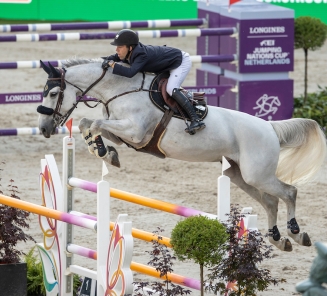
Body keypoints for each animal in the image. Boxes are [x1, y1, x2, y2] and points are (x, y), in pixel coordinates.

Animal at [37, 58, 326, 252]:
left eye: (54, 93)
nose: (44, 129)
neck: (120, 89)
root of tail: (270, 127)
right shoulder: (125, 133)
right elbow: (88, 123)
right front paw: (105, 152)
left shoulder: (135, 131)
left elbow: (94, 123)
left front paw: (104, 153)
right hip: (240, 175)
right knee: (271, 202)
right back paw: (278, 239)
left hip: (258, 174)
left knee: (289, 192)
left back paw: (296, 233)